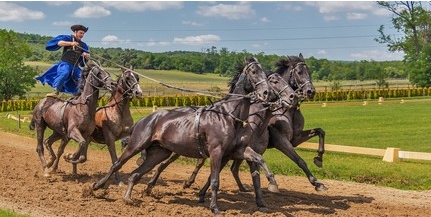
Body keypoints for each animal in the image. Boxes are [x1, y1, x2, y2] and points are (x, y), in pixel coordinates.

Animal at [91, 57, 282, 215]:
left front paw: (272, 182)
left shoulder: (237, 150)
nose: (267, 93)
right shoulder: (216, 152)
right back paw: (97, 186)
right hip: (136, 145)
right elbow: (215, 180)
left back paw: (128, 198)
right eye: (253, 71)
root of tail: (145, 120)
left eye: (265, 73)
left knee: (135, 174)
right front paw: (214, 207)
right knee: (117, 164)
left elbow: (259, 158)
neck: (228, 115)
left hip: (159, 153)